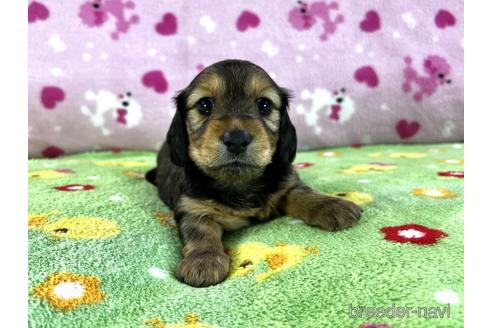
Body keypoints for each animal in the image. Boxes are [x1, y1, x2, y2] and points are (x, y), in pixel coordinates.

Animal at [146, 59, 362, 288]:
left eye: (264, 105)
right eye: (205, 105)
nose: (236, 139)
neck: (239, 182)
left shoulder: (286, 184)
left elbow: (304, 194)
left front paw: (333, 205)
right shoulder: (192, 206)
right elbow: (201, 231)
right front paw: (203, 260)